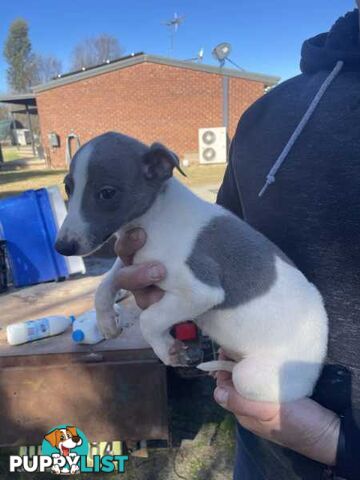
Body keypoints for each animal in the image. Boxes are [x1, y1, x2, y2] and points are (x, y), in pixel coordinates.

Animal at [54, 130, 328, 402]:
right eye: (68, 186)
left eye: (107, 192)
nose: (61, 247)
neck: (155, 216)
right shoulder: (132, 258)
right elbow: (105, 285)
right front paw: (106, 322)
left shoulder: (201, 291)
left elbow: (149, 319)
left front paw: (166, 350)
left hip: (252, 376)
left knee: (239, 373)